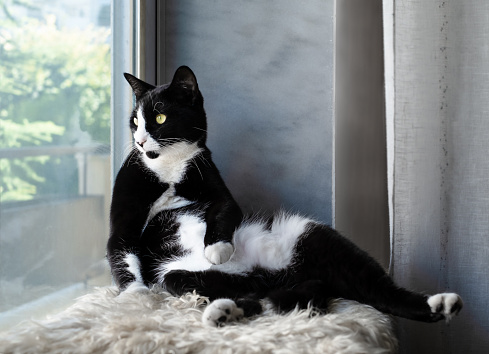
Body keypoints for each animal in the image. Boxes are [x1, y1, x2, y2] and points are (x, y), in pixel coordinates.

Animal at [107, 65, 462, 326]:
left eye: (160, 117)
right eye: (135, 120)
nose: (140, 141)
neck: (169, 169)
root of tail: (284, 275)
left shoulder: (213, 180)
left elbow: (225, 210)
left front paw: (217, 248)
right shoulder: (127, 203)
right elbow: (121, 245)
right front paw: (135, 295)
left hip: (314, 236)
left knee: (379, 290)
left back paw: (442, 304)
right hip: (180, 277)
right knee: (248, 293)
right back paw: (225, 311)